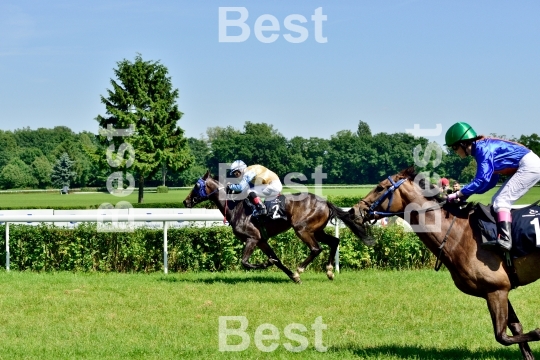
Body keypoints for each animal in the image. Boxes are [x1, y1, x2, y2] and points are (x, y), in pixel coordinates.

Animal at [184, 172, 374, 284]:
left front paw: (270, 264)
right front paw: (291, 275)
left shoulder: (252, 238)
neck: (236, 207)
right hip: (316, 230)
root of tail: (325, 201)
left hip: (302, 229)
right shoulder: (261, 241)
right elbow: (277, 259)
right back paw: (329, 271)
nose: (185, 202)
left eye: (196, 186)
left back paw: (300, 269)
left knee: (316, 248)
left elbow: (245, 262)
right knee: (334, 241)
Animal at [352, 167, 540, 358]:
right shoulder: (497, 289)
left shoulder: (496, 289)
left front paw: (538, 331)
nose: (354, 210)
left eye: (380, 187)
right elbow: (515, 328)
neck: (460, 235)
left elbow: (502, 336)